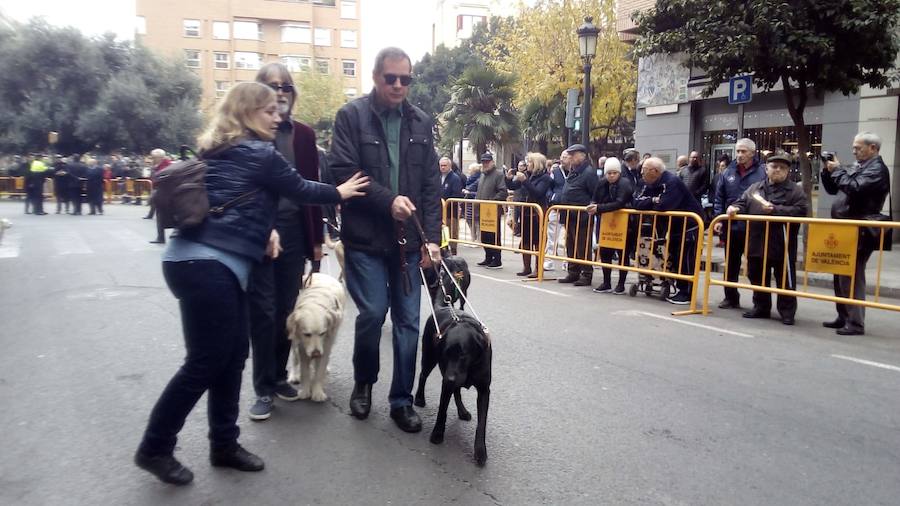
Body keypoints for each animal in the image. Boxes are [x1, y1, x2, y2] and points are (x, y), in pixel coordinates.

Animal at [288, 274, 344, 402]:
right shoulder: (302, 345)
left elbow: (319, 371)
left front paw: (317, 392)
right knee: (294, 357)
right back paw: (294, 375)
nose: (316, 354)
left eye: (322, 333)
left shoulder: (327, 342)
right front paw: (305, 391)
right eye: (307, 334)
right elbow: (304, 370)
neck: (315, 302)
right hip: (294, 340)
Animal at [414, 304, 492, 466]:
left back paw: (462, 411)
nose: (449, 378)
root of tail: (441, 306)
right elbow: (442, 410)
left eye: (463, 354)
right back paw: (419, 398)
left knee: (456, 390)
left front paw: (480, 451)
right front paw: (437, 433)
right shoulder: (446, 383)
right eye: (445, 353)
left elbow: (481, 423)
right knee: (423, 375)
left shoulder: (484, 390)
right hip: (429, 357)